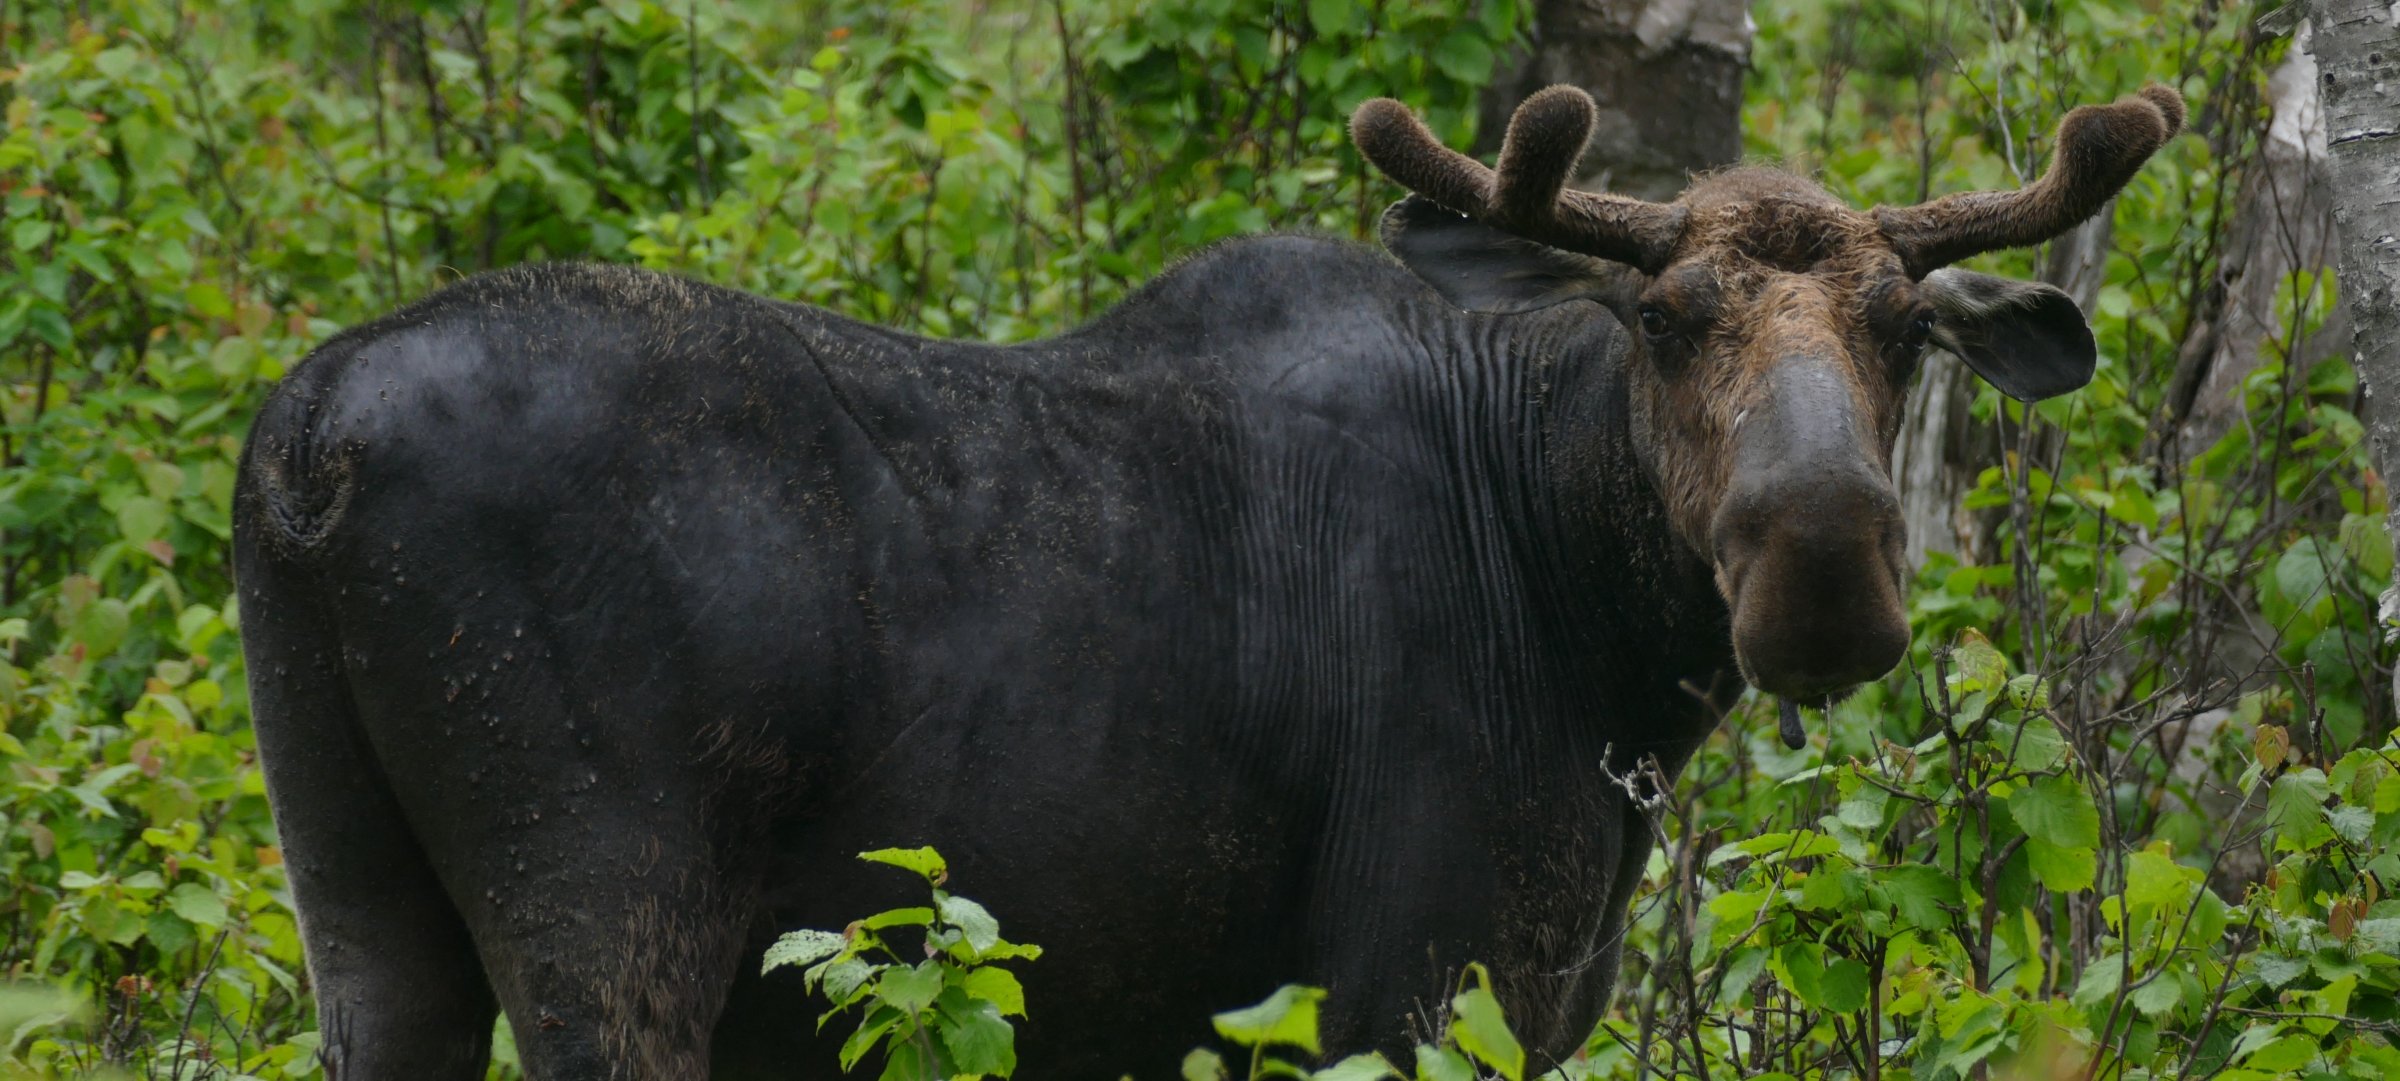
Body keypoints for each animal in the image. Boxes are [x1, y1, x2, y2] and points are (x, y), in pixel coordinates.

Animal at [238, 80, 2179, 1076]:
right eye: (1661, 318)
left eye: (1907, 329)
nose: (1823, 566)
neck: (1597, 638)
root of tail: (303, 449)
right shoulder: (1410, 970)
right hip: (614, 912)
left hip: (361, 906)